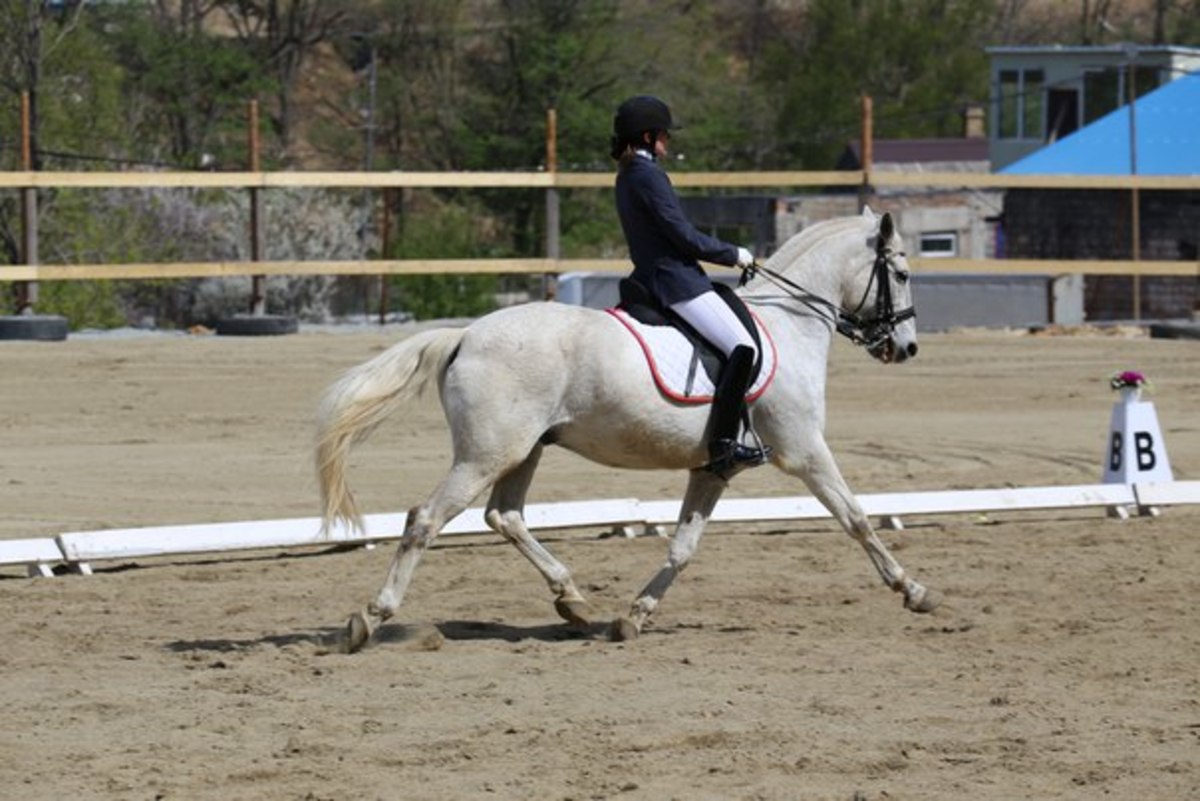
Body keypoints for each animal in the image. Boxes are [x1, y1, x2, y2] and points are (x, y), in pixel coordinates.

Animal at [324, 206, 940, 652]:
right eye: (902, 273)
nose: (906, 348)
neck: (788, 324)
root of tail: (466, 335)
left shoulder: (713, 468)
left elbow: (683, 548)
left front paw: (633, 618)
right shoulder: (806, 450)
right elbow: (856, 518)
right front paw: (913, 590)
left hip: (522, 450)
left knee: (506, 515)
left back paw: (573, 600)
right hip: (485, 455)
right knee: (426, 520)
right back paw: (369, 620)